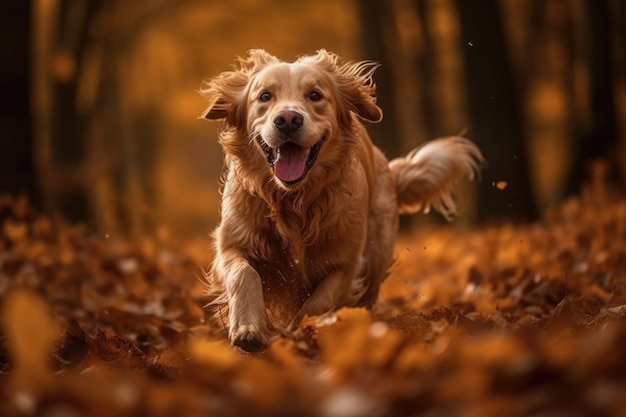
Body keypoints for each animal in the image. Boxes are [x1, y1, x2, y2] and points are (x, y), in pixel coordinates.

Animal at [200, 49, 482, 352]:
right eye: (264, 96)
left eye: (314, 95)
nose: (287, 119)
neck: (294, 202)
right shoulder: (232, 243)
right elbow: (244, 275)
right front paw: (248, 328)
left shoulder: (346, 266)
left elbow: (316, 306)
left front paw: (295, 335)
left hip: (376, 256)